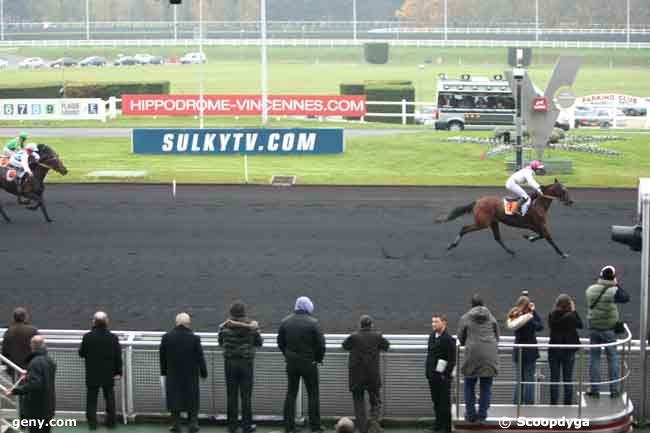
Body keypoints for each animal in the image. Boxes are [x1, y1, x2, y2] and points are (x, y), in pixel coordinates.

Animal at [436, 178, 572, 256]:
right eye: (564, 190)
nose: (571, 202)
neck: (538, 205)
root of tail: (478, 201)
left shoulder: (533, 226)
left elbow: (542, 235)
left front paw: (528, 237)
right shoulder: (539, 224)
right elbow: (548, 237)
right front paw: (562, 253)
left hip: (493, 222)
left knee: (497, 238)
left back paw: (510, 251)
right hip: (482, 223)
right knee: (464, 229)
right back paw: (452, 245)